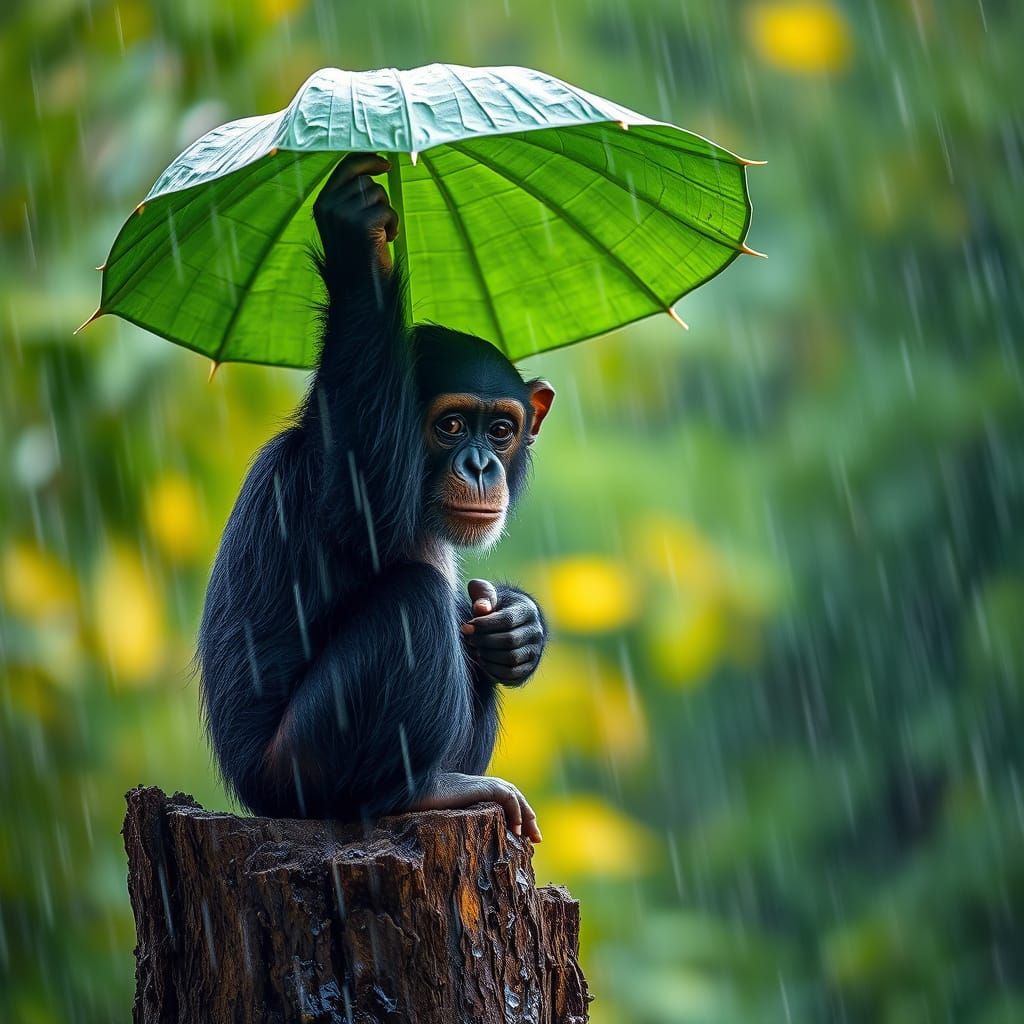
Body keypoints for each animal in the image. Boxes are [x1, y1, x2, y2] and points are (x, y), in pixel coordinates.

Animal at [197, 152, 554, 842]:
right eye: (451, 425)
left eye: (501, 428)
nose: (480, 464)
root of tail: (250, 796)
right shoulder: (334, 461)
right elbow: (362, 505)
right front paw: (357, 236)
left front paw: (518, 623)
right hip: (301, 768)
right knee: (415, 601)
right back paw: (422, 794)